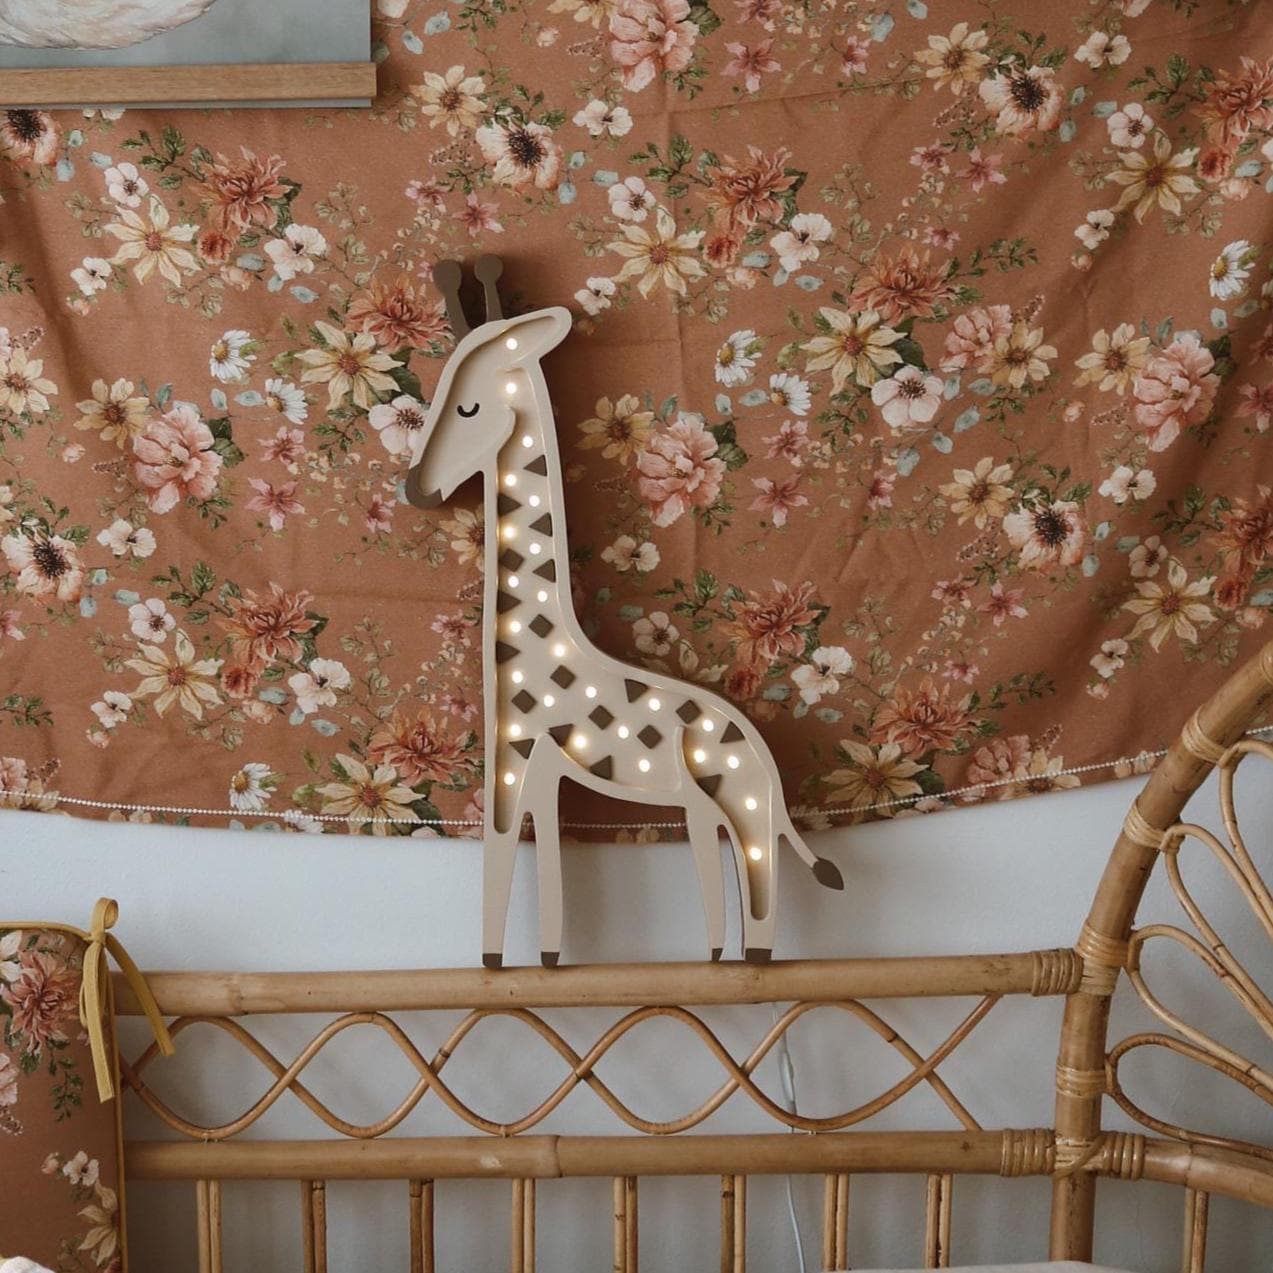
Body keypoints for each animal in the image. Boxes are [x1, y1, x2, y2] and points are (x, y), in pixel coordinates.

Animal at [405, 258, 843, 968]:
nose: (417, 489)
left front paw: (495, 963)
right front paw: (545, 962)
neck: (547, 640)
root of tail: (764, 763)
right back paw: (716, 959)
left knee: (761, 876)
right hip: (703, 806)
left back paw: (753, 964)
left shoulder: (514, 753)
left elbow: (502, 850)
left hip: (741, 799)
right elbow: (548, 862)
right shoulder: (546, 766)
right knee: (723, 877)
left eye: (467, 404)